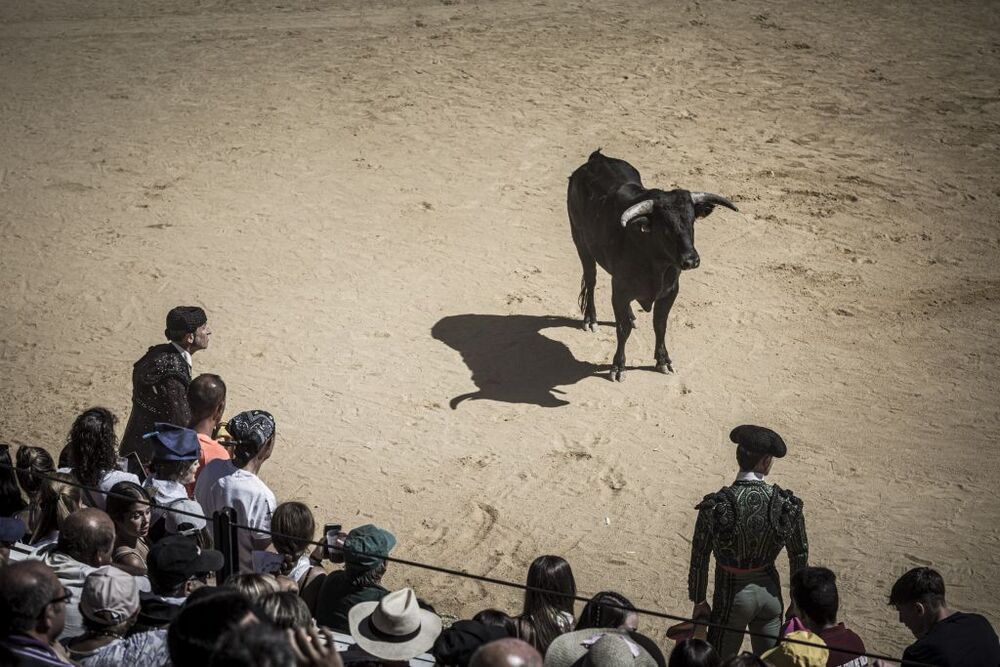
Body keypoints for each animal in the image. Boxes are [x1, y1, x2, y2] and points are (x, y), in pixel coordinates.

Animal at [568, 151, 740, 380]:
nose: (691, 260)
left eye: (692, 221)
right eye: (666, 226)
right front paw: (618, 366)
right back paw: (591, 319)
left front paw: (663, 361)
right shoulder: (619, 290)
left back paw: (632, 316)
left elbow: (660, 325)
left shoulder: (670, 291)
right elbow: (622, 329)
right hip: (580, 242)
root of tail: (597, 158)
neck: (655, 263)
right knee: (591, 279)